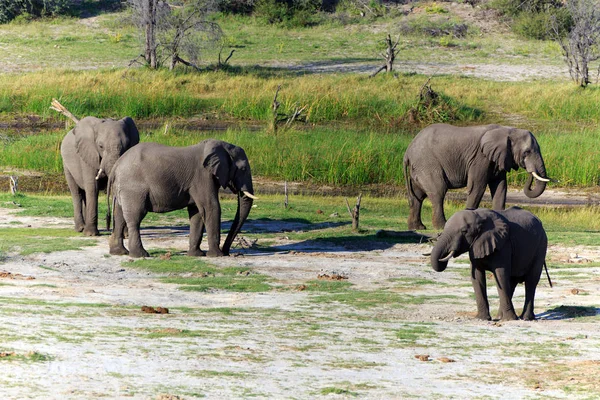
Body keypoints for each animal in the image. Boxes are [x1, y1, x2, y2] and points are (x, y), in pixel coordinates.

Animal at [108, 140, 258, 260]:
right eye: (243, 169)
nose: (227, 252)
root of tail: (116, 166)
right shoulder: (203, 176)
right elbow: (211, 207)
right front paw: (216, 255)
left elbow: (197, 212)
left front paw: (196, 255)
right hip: (133, 188)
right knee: (135, 217)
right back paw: (140, 255)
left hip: (123, 188)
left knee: (119, 216)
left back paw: (119, 252)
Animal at [400, 125, 552, 231]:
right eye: (526, 152)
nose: (529, 172)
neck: (508, 130)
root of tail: (407, 152)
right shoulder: (480, 158)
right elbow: (477, 186)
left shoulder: (498, 158)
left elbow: (500, 188)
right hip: (427, 164)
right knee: (438, 192)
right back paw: (442, 226)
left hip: (418, 168)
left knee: (417, 196)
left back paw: (417, 227)